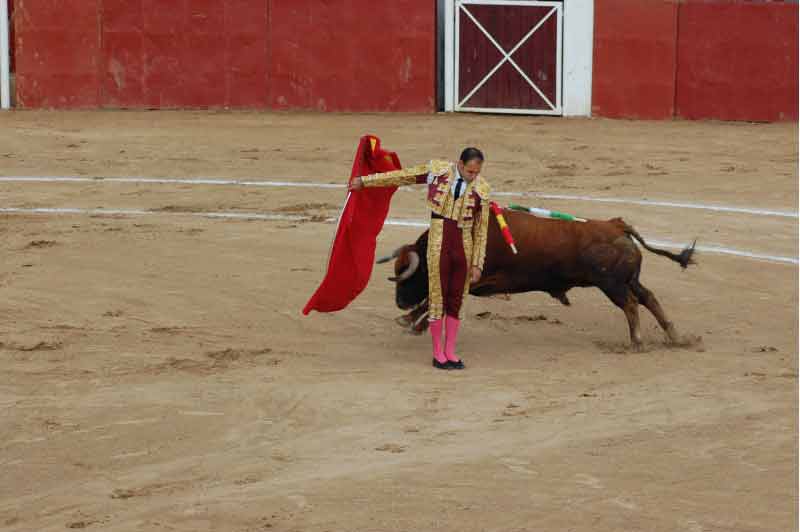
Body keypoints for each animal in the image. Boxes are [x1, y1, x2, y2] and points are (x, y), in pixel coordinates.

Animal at [378, 210, 696, 352]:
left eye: (411, 274)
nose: (398, 302)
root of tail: (616, 225)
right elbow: (438, 299)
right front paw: (413, 322)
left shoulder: (473, 281)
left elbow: (436, 298)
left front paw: (409, 321)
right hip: (629, 280)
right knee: (648, 297)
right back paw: (677, 338)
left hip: (613, 285)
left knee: (631, 305)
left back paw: (637, 342)